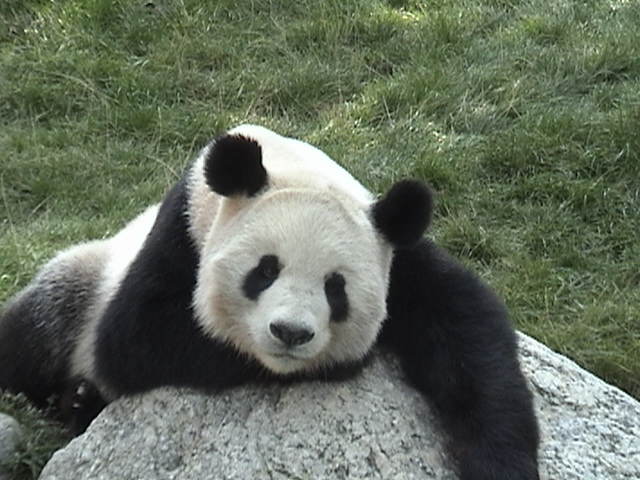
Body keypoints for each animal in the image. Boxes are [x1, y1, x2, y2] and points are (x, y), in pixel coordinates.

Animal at [0, 125, 539, 480]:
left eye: (336, 287)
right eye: (264, 270)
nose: (291, 333)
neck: (288, 163)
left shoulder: (395, 252)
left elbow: (469, 330)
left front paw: (499, 462)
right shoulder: (180, 232)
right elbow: (138, 338)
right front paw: (347, 359)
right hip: (88, 278)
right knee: (35, 329)